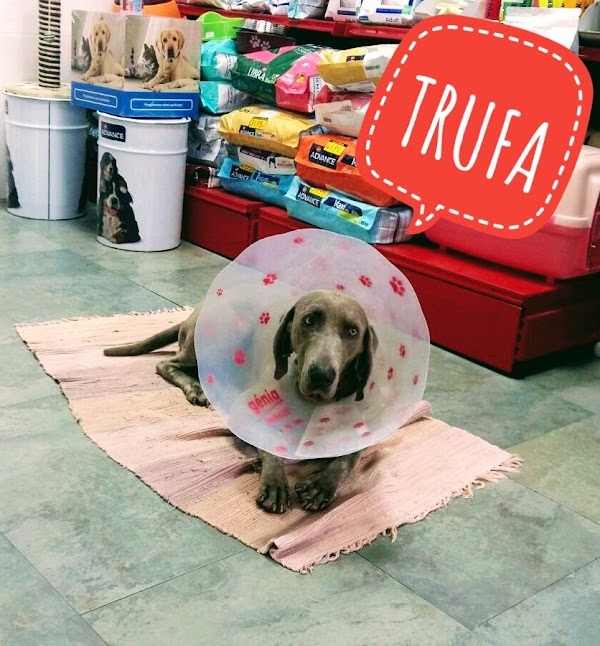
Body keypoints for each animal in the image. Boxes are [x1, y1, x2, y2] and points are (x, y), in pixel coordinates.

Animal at [103, 290, 378, 513]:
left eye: (353, 331)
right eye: (309, 320)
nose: (321, 374)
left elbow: (348, 459)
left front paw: (322, 485)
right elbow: (269, 446)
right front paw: (275, 483)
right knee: (167, 363)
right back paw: (196, 388)